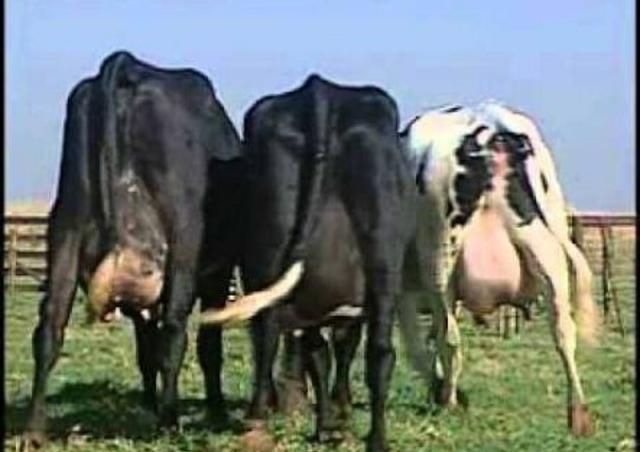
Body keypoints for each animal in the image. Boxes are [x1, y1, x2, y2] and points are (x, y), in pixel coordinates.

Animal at [22, 51, 244, 448]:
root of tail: (128, 66)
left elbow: (145, 351)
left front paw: (150, 404)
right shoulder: (214, 275)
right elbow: (206, 346)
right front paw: (212, 411)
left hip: (65, 230)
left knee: (49, 329)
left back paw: (34, 430)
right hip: (184, 244)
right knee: (174, 333)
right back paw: (169, 423)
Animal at [201, 74, 417, 452]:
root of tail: (319, 90)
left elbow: (319, 356)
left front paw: (325, 424)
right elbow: (339, 351)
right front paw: (339, 417)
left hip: (269, 248)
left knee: (268, 330)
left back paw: (258, 421)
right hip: (383, 260)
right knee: (380, 353)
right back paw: (377, 439)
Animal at [397, 100, 598, 437]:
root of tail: (492, 122)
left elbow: (418, 341)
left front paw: (436, 386)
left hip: (440, 259)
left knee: (450, 337)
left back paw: (450, 402)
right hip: (543, 245)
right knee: (563, 328)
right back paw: (578, 414)